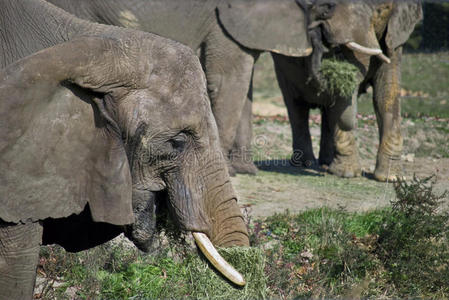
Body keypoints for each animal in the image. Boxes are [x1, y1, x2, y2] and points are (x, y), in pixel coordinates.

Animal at [272, 0, 422, 180]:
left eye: (382, 10)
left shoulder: (393, 37)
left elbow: (386, 92)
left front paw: (392, 178)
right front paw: (347, 174)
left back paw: (326, 163)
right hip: (282, 65)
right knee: (296, 105)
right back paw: (306, 164)